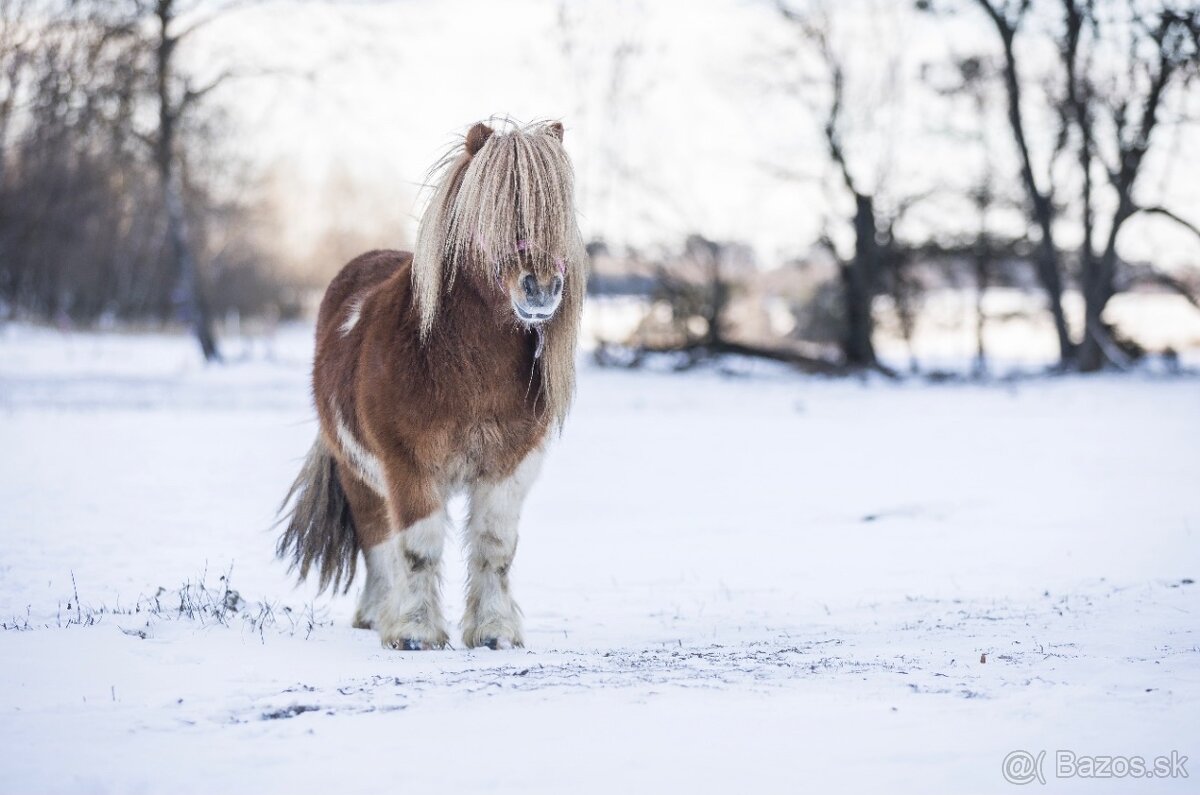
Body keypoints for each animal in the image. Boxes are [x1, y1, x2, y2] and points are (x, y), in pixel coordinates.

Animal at [277, 119, 586, 650]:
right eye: (491, 208)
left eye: (556, 209)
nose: (541, 288)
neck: (462, 369)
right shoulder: (408, 466)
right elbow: (417, 548)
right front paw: (415, 632)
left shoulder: (508, 467)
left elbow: (495, 547)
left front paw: (495, 632)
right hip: (360, 475)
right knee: (378, 541)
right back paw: (377, 614)